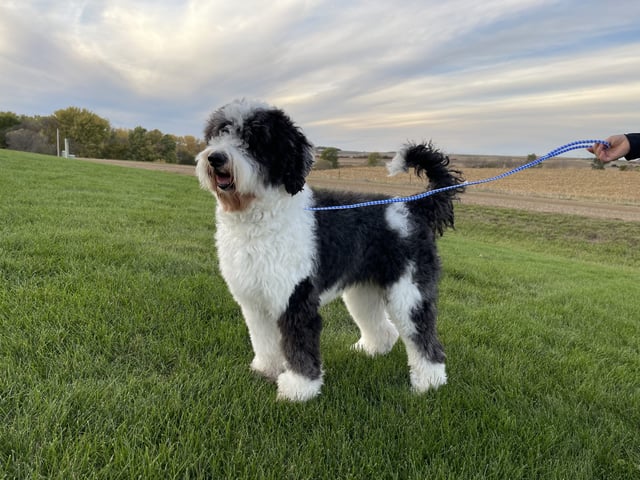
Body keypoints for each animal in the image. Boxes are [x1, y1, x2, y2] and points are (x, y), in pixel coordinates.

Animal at [196, 98, 464, 402]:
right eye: (220, 133)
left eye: (253, 139)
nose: (215, 158)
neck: (259, 217)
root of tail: (414, 206)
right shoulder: (254, 300)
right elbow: (263, 340)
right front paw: (266, 370)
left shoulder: (296, 298)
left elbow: (299, 345)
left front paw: (298, 389)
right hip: (363, 291)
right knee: (383, 328)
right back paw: (372, 350)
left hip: (410, 292)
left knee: (424, 339)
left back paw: (429, 383)